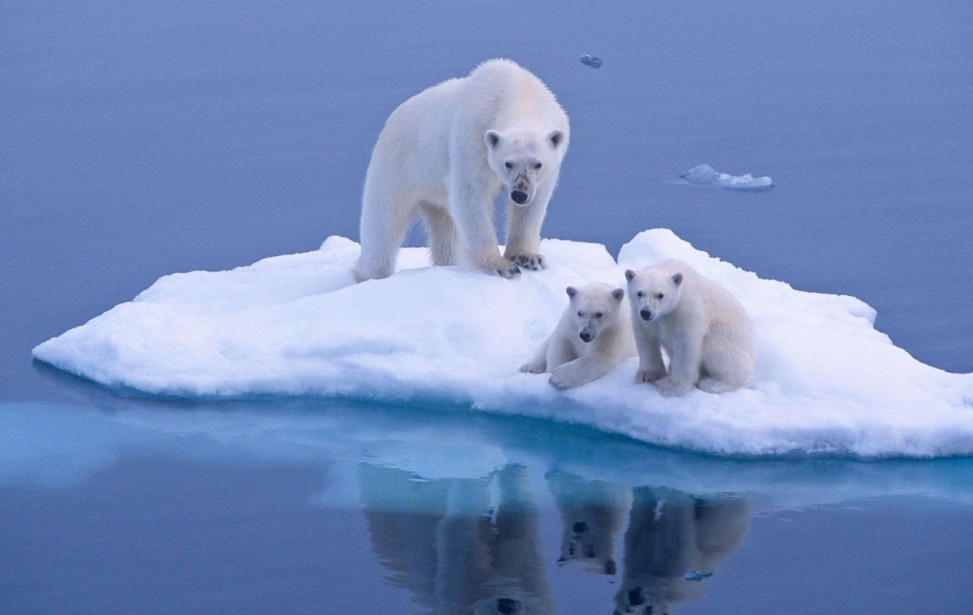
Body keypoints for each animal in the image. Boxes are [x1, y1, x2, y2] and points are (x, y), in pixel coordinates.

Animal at [354, 60, 568, 282]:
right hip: (397, 166)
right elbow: (470, 193)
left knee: (445, 230)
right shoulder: (473, 137)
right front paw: (500, 265)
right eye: (508, 163)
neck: (518, 92)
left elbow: (533, 206)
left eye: (537, 164)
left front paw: (528, 258)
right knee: (383, 225)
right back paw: (369, 273)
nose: (519, 194)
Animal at [628, 262, 756, 398]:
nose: (646, 312)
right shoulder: (641, 317)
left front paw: (672, 386)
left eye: (660, 295)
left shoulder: (686, 310)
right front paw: (646, 375)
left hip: (728, 337)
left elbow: (686, 344)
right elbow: (645, 339)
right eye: (639, 293)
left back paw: (712, 383)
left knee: (721, 352)